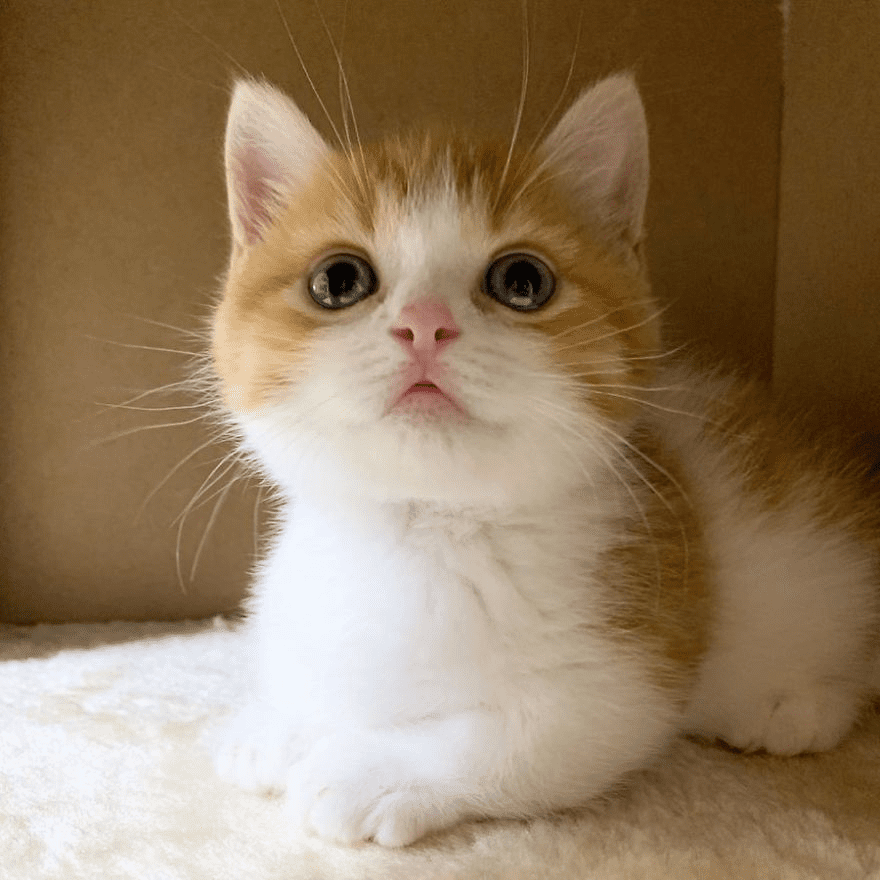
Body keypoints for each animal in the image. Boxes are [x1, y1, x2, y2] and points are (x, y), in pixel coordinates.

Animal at [208, 74, 880, 844]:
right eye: (339, 280)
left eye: (522, 280)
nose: (425, 325)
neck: (424, 531)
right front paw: (276, 724)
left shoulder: (632, 662)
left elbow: (525, 738)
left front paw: (373, 772)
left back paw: (795, 706)